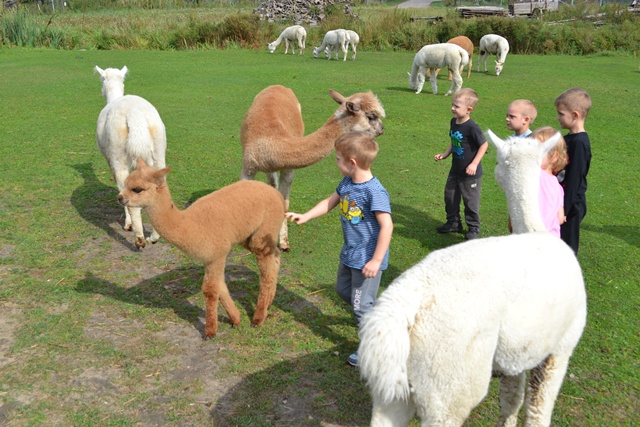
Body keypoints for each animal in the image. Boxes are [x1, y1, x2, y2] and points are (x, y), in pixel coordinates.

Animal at [95, 65, 166, 249]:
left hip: (117, 152)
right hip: (158, 148)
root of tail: (135, 115)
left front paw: (128, 224)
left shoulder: (110, 159)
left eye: (101, 80)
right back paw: (154, 237)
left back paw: (138, 238)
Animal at [118, 158, 286, 338]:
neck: (191, 225)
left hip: (264, 230)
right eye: (125, 183)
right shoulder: (210, 257)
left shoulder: (217, 254)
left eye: (137, 189)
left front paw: (210, 332)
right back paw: (269, 303)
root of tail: (277, 195)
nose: (120, 197)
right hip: (249, 235)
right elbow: (220, 286)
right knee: (275, 256)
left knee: (265, 271)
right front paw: (236, 319)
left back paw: (258, 318)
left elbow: (210, 290)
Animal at [240, 85, 385, 251]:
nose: (382, 128)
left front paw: (283, 243)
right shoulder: (247, 167)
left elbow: (285, 203)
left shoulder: (288, 169)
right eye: (372, 116)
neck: (273, 141)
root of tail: (278, 86)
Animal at [358, 131, 586, 427]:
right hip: (450, 378)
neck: (537, 231)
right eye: (499, 160)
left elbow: (511, 400)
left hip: (396, 385)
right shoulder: (560, 348)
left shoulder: (516, 354)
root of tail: (402, 305)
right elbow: (538, 411)